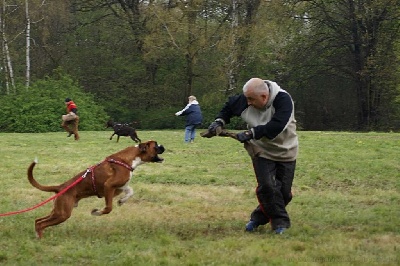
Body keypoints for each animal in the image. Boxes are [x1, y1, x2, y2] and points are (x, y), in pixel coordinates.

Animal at [27, 140, 164, 238]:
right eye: (155, 145)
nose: (163, 146)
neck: (130, 158)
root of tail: (61, 187)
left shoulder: (119, 187)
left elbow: (130, 191)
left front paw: (122, 201)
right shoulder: (108, 186)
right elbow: (108, 208)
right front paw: (97, 212)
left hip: (58, 211)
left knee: (38, 220)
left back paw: (37, 235)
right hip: (63, 214)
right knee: (42, 223)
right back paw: (40, 239)